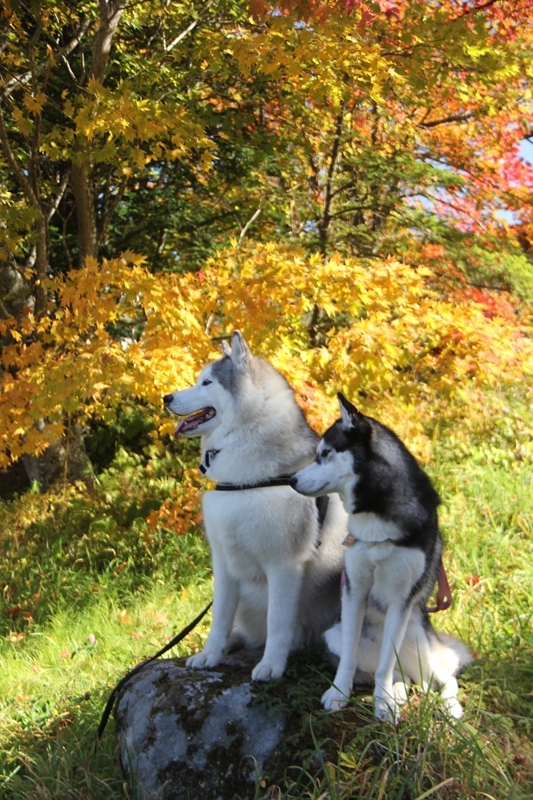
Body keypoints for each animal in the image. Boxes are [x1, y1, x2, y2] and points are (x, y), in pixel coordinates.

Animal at [162, 332, 344, 680]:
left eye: (206, 383)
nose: (166, 397)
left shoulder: (284, 565)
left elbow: (278, 623)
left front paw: (271, 664)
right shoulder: (223, 563)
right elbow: (219, 617)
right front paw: (210, 654)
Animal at [290, 394, 470, 724]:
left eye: (324, 453)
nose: (292, 480)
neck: (378, 514)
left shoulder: (401, 599)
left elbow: (388, 662)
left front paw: (383, 703)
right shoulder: (354, 590)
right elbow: (349, 659)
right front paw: (339, 693)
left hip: (418, 643)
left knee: (443, 677)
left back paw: (447, 705)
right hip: (333, 635)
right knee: (399, 675)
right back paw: (398, 692)